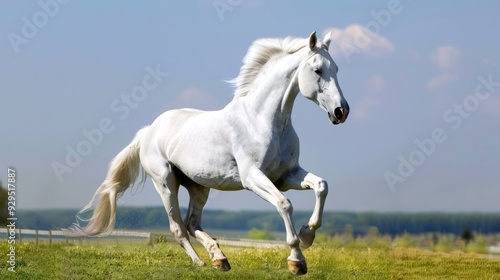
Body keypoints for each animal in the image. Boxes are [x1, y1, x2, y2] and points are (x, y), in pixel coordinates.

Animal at [65, 31, 348, 274]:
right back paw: (201, 262)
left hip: (199, 186)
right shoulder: (253, 177)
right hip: (166, 183)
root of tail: (148, 131)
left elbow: (321, 186)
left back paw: (220, 258)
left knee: (192, 223)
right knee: (178, 227)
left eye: (336, 69)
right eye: (317, 70)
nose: (341, 111)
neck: (263, 120)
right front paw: (297, 261)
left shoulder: (287, 176)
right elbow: (284, 204)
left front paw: (307, 235)